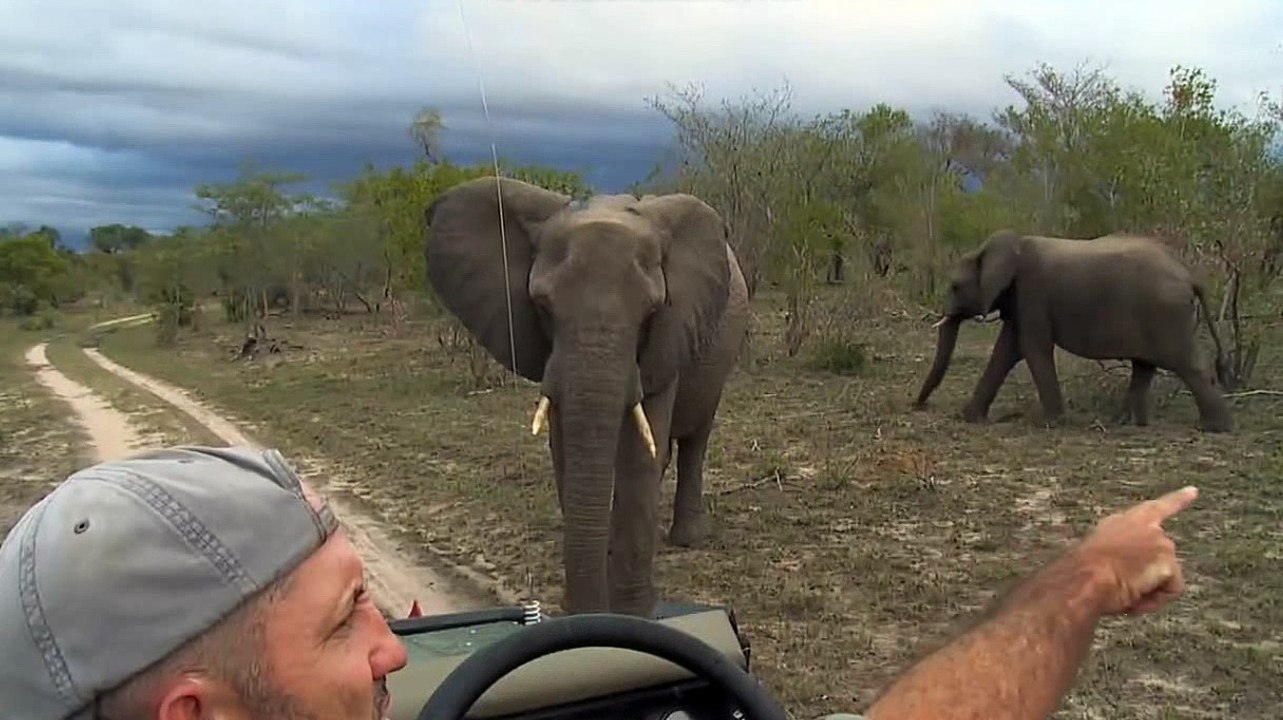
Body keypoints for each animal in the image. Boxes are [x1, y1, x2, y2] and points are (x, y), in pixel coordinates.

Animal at [424, 176, 751, 617]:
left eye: (651, 312)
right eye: (543, 306)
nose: (582, 612)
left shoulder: (668, 338)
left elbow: (638, 457)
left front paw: (632, 612)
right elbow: (566, 450)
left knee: (694, 439)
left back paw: (688, 538)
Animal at [912, 229, 1234, 433]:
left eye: (955, 287)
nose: (919, 406)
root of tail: (1190, 274)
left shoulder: (1033, 293)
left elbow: (1031, 348)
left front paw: (1051, 423)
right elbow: (1006, 351)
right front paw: (969, 418)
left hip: (1167, 315)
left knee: (1186, 365)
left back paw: (1212, 428)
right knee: (1144, 366)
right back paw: (1126, 423)